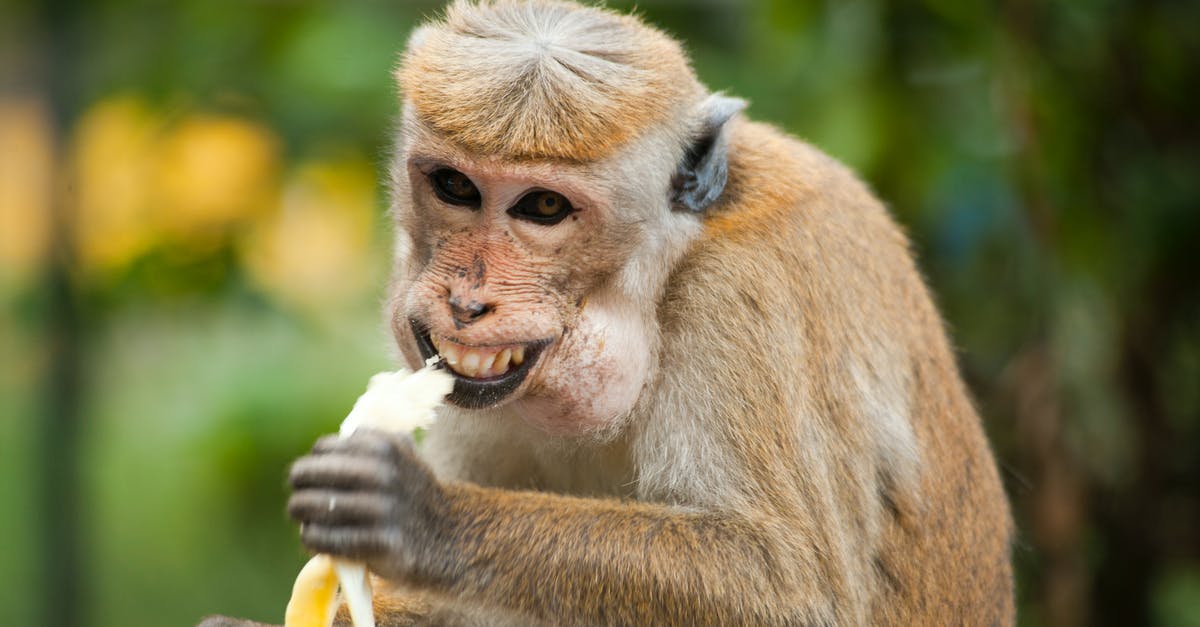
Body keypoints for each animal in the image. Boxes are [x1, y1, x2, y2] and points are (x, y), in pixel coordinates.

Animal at [202, 1, 1014, 625]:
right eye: (456, 187)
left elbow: (789, 588)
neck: (664, 271)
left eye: (543, 207)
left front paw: (424, 518)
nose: (467, 301)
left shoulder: (742, 301)